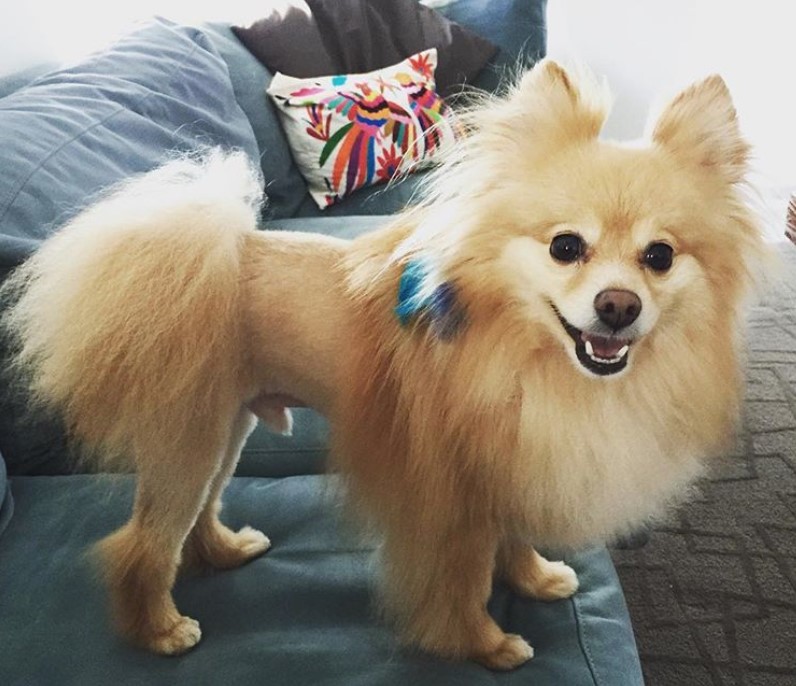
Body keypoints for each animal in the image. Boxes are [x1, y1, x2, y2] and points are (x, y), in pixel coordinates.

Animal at [3, 61, 768, 668]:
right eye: (566, 247)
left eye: (659, 257)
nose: (617, 306)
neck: (522, 353)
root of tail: (207, 255)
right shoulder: (456, 495)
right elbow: (464, 581)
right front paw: (486, 645)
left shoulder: (512, 461)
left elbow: (515, 538)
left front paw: (537, 579)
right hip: (188, 439)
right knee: (144, 544)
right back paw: (158, 631)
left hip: (226, 431)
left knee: (197, 517)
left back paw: (223, 552)